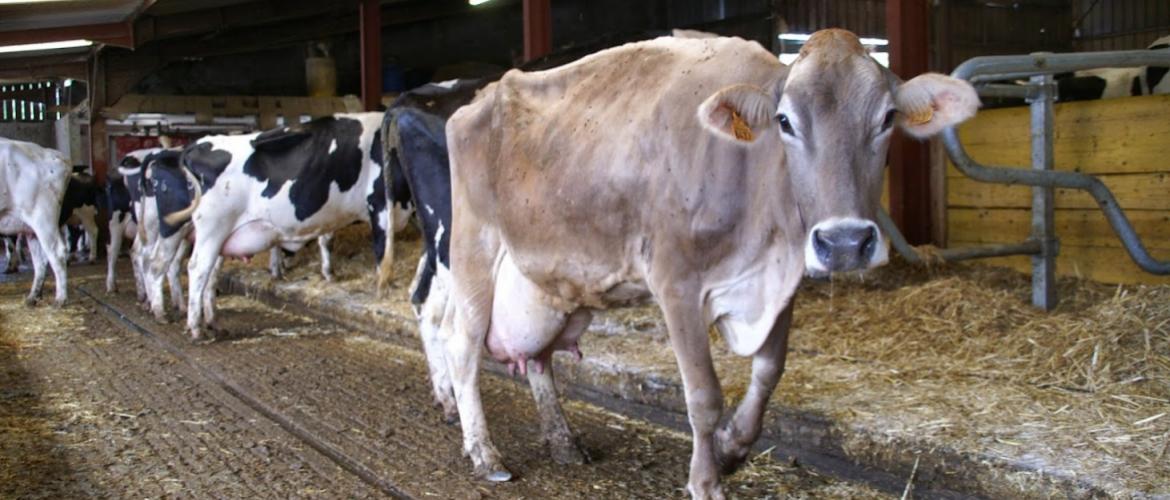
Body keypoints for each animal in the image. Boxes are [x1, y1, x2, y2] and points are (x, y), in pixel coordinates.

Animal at [0, 138, 71, 306]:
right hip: (30, 228)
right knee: (40, 260)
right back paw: (33, 296)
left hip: (43, 219)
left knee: (57, 253)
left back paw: (60, 299)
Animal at [170, 112, 395, 339]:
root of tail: (200, 143)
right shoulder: (380, 206)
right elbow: (383, 251)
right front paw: (384, 290)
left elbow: (327, 239)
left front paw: (329, 273)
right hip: (212, 229)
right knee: (197, 268)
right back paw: (196, 328)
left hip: (222, 236)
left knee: (210, 273)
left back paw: (212, 322)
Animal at [438, 30, 980, 498]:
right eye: (785, 121)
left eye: (887, 118)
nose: (845, 241)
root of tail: (485, 93)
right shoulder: (676, 282)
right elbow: (703, 396)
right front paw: (705, 481)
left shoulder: (782, 282)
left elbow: (769, 372)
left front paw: (732, 448)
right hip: (473, 248)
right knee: (461, 345)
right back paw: (484, 453)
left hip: (550, 280)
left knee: (538, 357)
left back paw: (564, 442)